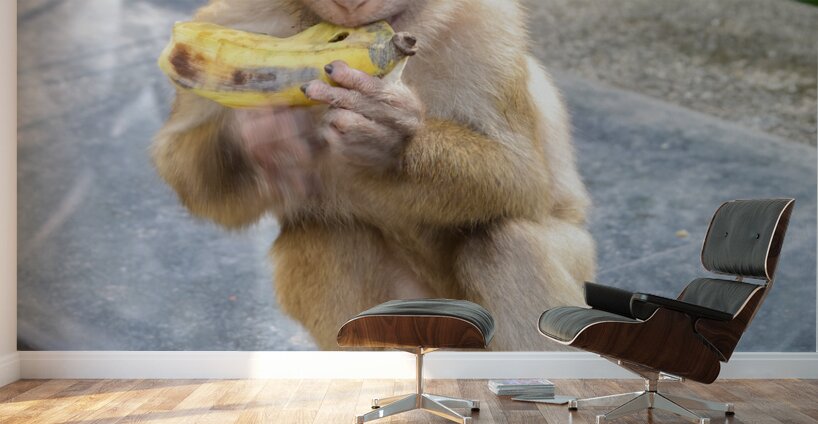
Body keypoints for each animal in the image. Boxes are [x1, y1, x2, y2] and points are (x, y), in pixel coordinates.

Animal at [152, 0, 596, 351]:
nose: (351, 4)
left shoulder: (489, 28)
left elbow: (522, 175)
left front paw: (391, 139)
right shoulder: (230, 18)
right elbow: (179, 163)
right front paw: (261, 137)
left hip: (577, 264)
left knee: (506, 240)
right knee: (326, 236)